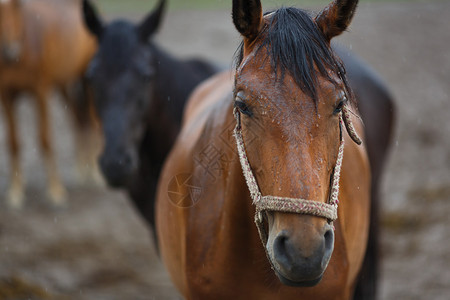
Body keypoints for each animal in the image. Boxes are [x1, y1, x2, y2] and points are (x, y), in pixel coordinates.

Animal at [0, 0, 96, 209]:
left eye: (16, 8)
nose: (8, 50)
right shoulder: (6, 97)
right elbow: (13, 142)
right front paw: (16, 192)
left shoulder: (40, 92)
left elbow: (45, 139)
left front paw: (55, 191)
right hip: (63, 85)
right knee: (76, 120)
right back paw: (80, 170)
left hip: (87, 80)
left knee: (94, 122)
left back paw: (95, 172)